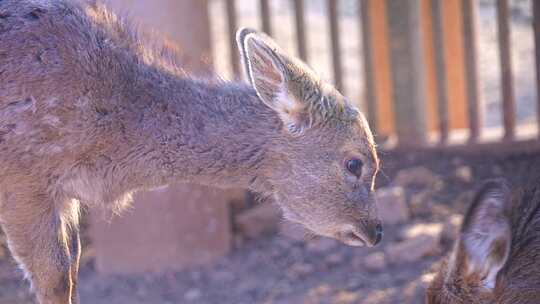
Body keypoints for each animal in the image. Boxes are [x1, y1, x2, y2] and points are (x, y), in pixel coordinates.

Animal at [0, 0, 382, 304]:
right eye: (355, 163)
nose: (375, 230)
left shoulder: (64, 196)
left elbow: (73, 269)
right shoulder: (24, 178)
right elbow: (55, 279)